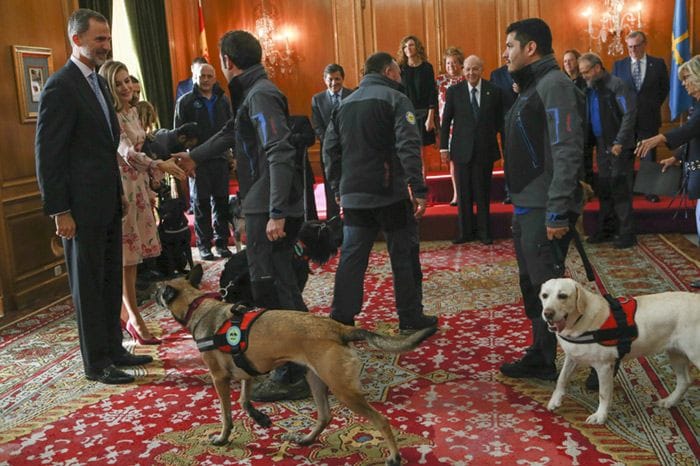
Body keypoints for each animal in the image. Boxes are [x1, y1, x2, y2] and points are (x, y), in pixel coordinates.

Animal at [159, 264, 438, 464]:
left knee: (381, 421)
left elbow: (226, 414)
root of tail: (338, 329)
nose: (153, 289)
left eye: (159, 289)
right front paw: (260, 418)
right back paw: (306, 438)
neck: (199, 306)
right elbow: (244, 401)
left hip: (342, 389)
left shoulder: (220, 378)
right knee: (325, 416)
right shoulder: (246, 373)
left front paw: (222, 437)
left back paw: (394, 456)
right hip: (316, 380)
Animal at [540, 278, 696, 424]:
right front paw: (555, 400)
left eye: (562, 296)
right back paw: (669, 401)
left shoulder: (604, 366)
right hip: (676, 353)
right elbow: (561, 378)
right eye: (544, 295)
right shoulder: (572, 357)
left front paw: (600, 416)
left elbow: (603, 393)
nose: (547, 313)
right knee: (684, 381)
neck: (579, 321)